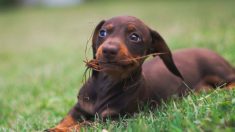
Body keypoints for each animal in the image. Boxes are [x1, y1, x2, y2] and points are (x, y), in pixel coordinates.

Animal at [46, 15, 235, 131]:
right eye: (102, 32)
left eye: (134, 37)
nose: (108, 50)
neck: (106, 84)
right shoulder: (78, 108)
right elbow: (67, 120)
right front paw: (56, 127)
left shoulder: (115, 120)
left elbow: (86, 124)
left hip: (219, 72)